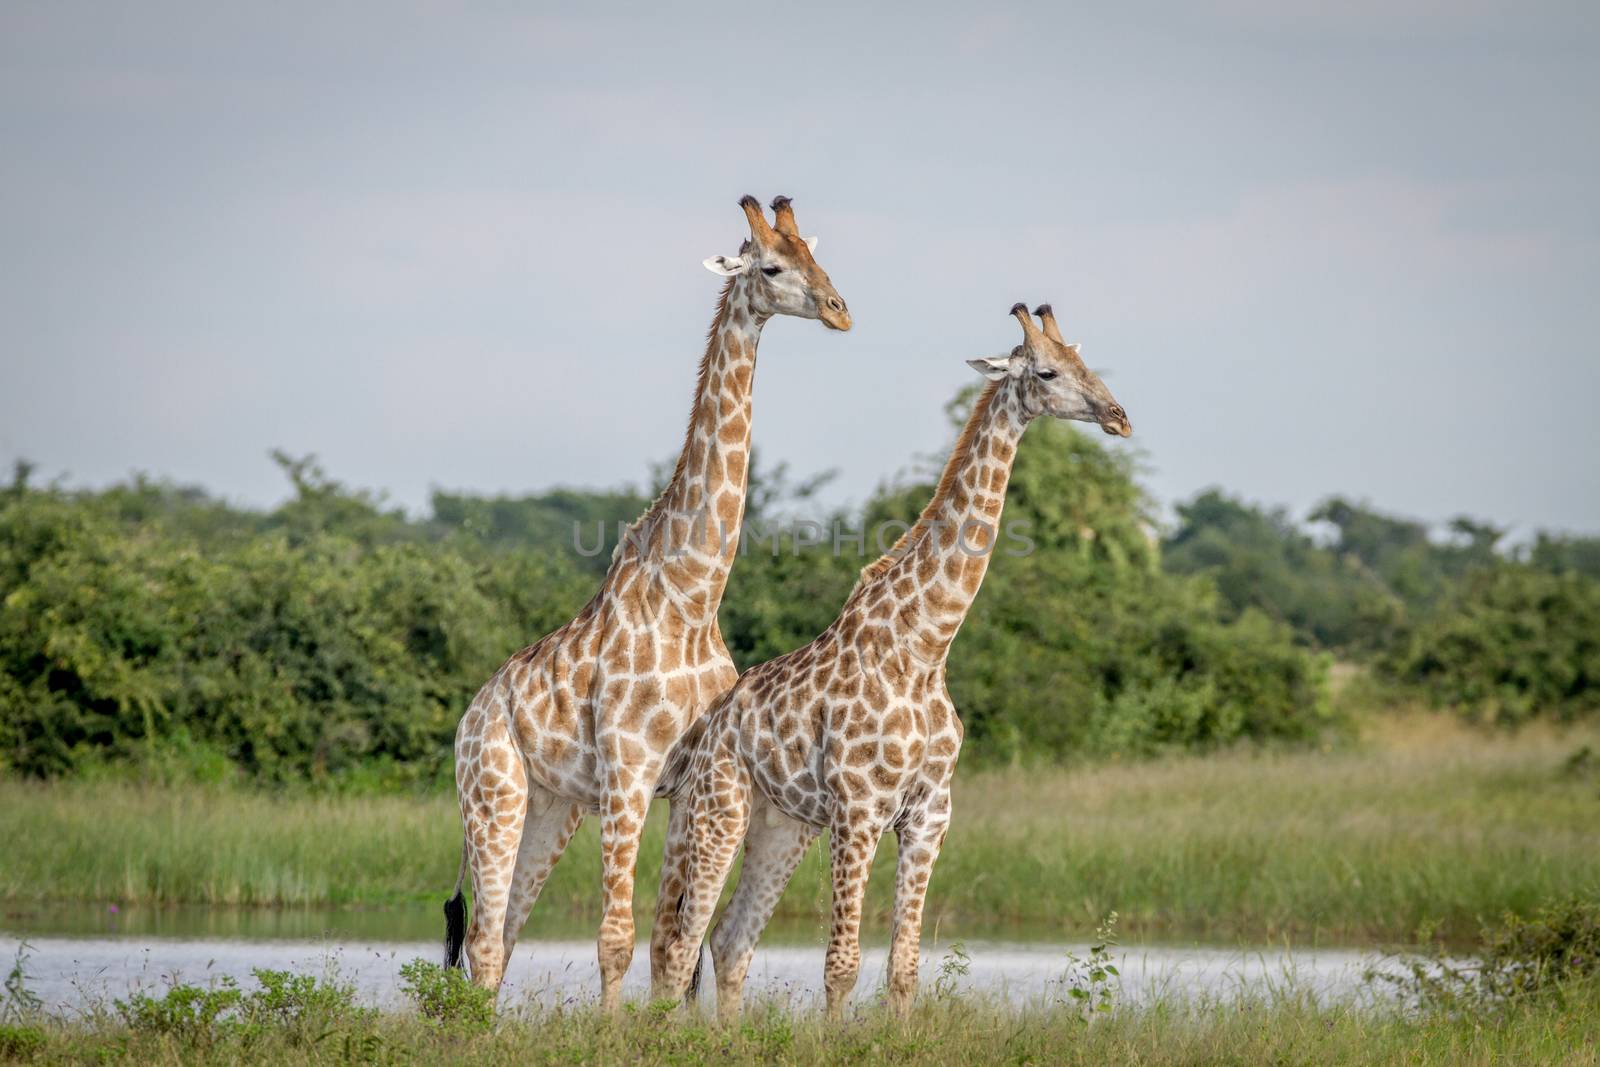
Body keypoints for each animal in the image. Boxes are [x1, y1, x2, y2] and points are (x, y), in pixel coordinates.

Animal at [444, 198, 851, 1011]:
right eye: (771, 266)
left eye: (818, 259)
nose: (838, 309)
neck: (691, 595)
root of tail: (470, 718)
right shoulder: (629, 771)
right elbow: (617, 939)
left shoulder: (684, 781)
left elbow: (675, 946)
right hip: (494, 795)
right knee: (483, 938)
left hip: (552, 806)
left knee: (501, 938)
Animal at [643, 303, 1132, 1023]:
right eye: (1046, 371)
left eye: (1082, 360)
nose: (1118, 415)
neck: (925, 646)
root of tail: (706, 731)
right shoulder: (860, 808)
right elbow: (841, 965)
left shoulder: (930, 814)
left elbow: (904, 969)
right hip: (720, 810)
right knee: (680, 943)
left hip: (782, 824)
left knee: (729, 939)